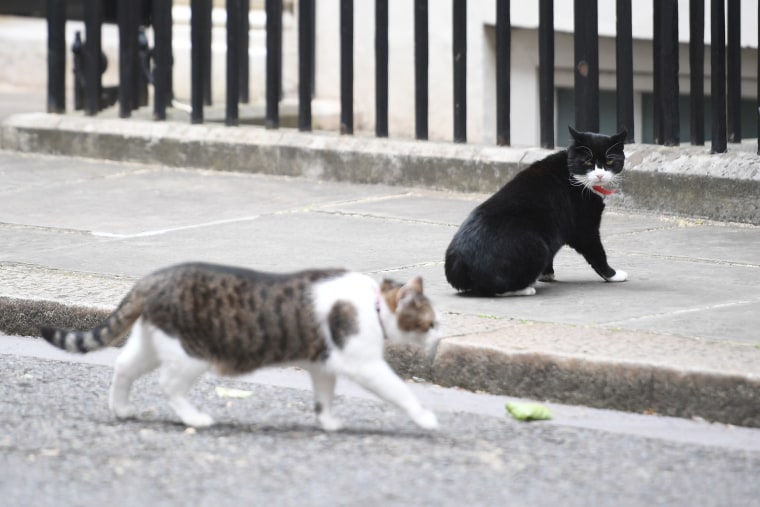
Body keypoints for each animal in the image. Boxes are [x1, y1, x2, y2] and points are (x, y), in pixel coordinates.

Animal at [41, 262, 442, 432]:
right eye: (432, 322)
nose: (441, 336)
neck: (374, 304)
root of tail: (152, 279)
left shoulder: (322, 365)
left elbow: (324, 397)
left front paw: (328, 422)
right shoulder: (364, 364)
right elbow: (400, 391)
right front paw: (425, 418)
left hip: (154, 343)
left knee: (123, 365)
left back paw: (122, 409)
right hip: (192, 353)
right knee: (169, 386)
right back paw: (195, 419)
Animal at [442, 125, 628, 298]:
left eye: (609, 162)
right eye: (588, 162)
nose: (599, 175)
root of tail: (459, 266)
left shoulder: (555, 229)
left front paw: (546, 274)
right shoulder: (584, 227)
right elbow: (597, 253)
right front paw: (613, 275)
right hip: (537, 246)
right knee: (495, 289)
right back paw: (525, 289)